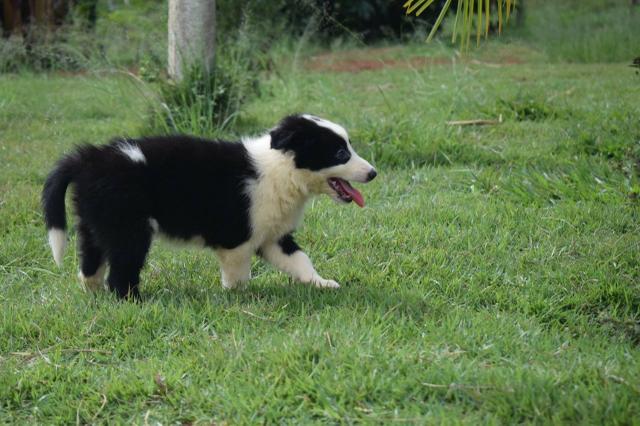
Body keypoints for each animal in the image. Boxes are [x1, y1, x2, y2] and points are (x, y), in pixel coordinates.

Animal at [43, 114, 376, 300]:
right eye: (340, 153)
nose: (373, 173)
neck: (281, 169)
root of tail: (89, 159)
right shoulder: (238, 238)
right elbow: (238, 275)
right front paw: (239, 296)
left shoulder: (273, 236)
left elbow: (300, 260)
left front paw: (321, 283)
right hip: (129, 228)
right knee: (122, 271)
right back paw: (133, 301)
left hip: (96, 222)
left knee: (90, 262)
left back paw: (94, 294)